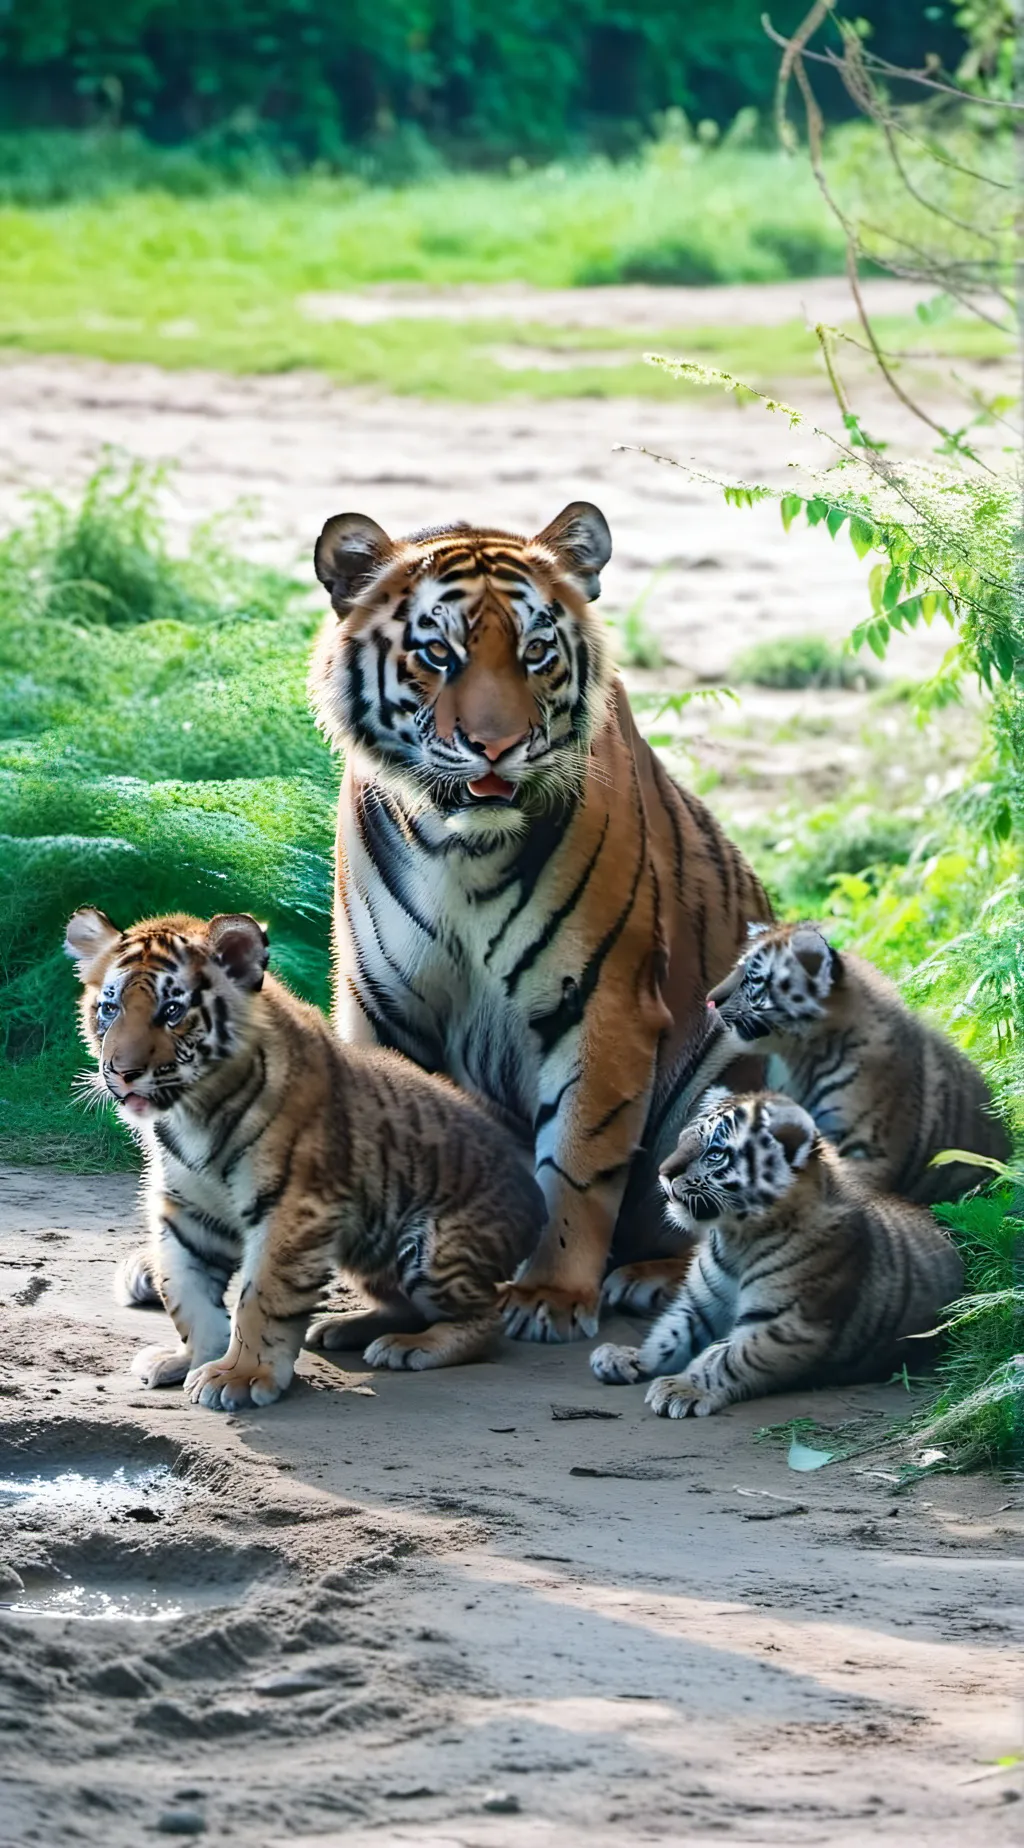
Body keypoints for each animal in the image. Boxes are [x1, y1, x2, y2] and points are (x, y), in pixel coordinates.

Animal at [65, 906, 545, 1409]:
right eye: (110, 1008)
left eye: (172, 1011)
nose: (121, 1073)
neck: (191, 1113)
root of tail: (536, 1201)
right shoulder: (189, 1210)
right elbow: (184, 1290)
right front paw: (190, 1358)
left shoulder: (293, 1208)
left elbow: (260, 1296)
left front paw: (239, 1376)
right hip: (369, 1248)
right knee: (406, 1305)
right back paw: (343, 1328)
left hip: (433, 1247)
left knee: (487, 1317)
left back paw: (409, 1347)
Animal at [309, 501, 771, 1343]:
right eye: (438, 653)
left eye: (534, 654)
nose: (495, 747)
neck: (460, 847)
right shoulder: (383, 1005)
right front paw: (383, 1306)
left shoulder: (602, 1002)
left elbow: (580, 1161)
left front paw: (550, 1296)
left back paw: (648, 1279)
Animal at [590, 1089, 964, 1416]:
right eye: (685, 1140)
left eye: (714, 1153)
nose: (663, 1173)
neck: (735, 1237)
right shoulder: (699, 1306)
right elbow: (667, 1334)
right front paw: (627, 1358)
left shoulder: (785, 1322)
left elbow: (725, 1358)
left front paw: (682, 1389)